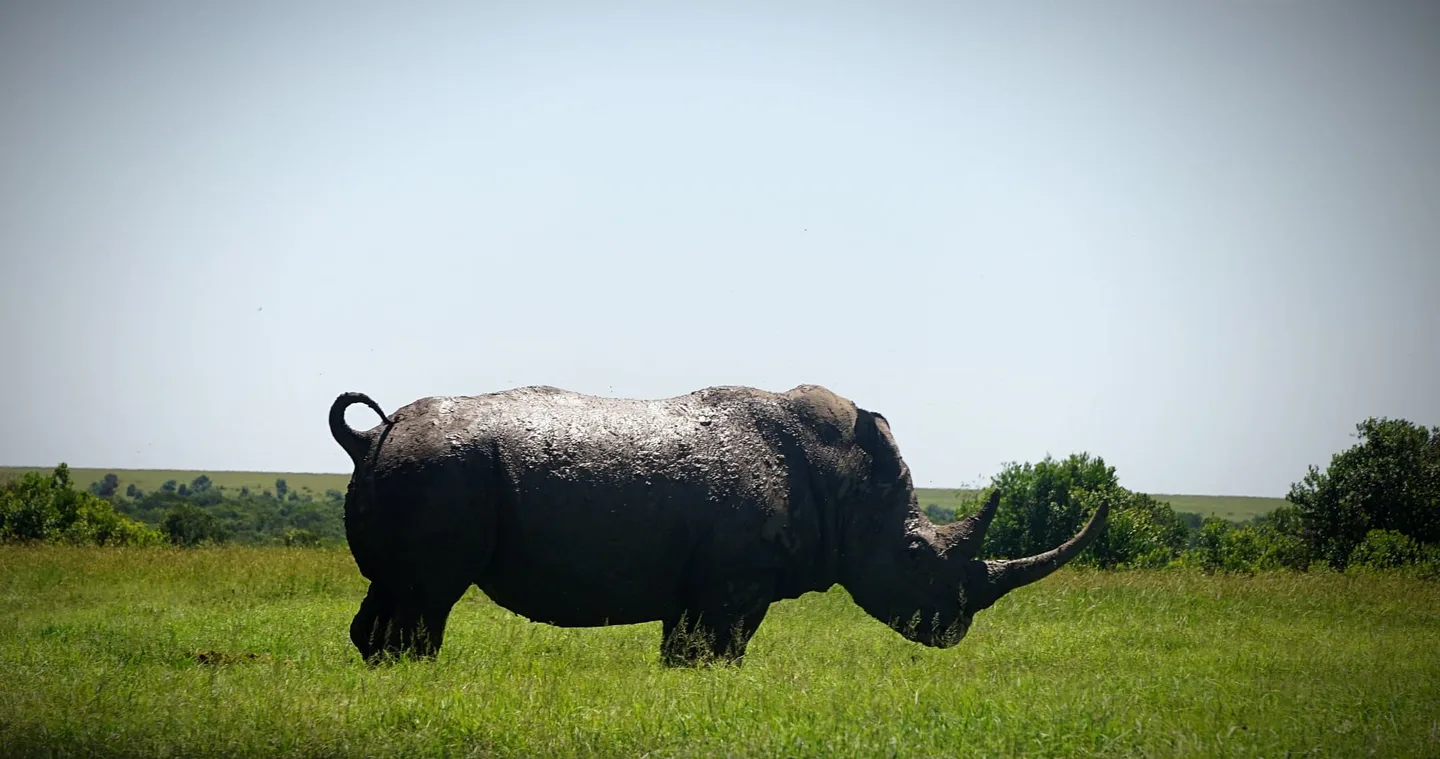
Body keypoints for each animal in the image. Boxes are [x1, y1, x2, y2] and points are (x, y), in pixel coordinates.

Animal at [329, 384, 1107, 666]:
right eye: (916, 554)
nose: (952, 630)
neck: (851, 483)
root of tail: (372, 438)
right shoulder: (737, 581)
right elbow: (720, 649)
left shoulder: (701, 581)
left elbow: (684, 649)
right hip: (438, 472)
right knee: (428, 595)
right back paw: (416, 673)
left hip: (418, 470)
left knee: (391, 591)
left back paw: (383, 673)